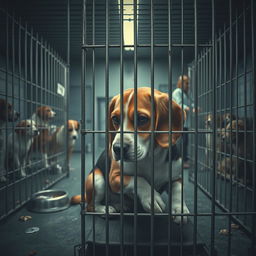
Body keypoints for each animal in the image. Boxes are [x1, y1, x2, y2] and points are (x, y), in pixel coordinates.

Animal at [72, 87, 190, 223]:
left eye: (142, 119)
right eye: (115, 119)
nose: (118, 149)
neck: (151, 158)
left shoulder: (176, 177)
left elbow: (178, 190)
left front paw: (180, 209)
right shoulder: (114, 178)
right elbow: (138, 179)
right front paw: (151, 197)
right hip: (97, 179)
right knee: (91, 206)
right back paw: (106, 210)